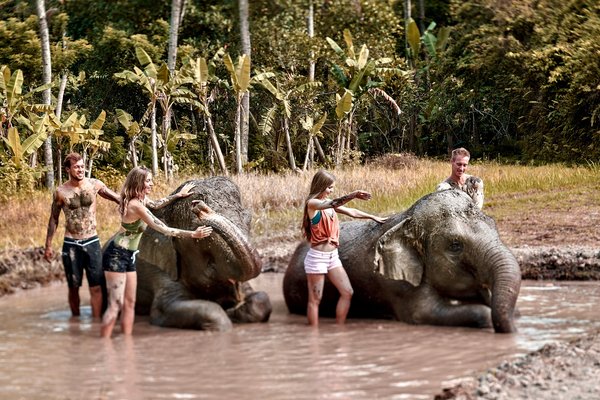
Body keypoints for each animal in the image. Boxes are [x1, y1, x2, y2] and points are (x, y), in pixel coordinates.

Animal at [134, 176, 272, 332]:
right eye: (198, 230)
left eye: (249, 219)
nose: (199, 206)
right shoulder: (160, 269)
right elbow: (166, 307)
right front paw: (226, 316)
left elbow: (261, 299)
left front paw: (232, 310)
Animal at [284, 189, 524, 332]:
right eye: (455, 245)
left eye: (494, 226)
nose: (514, 332)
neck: (407, 220)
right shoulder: (396, 283)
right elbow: (424, 312)